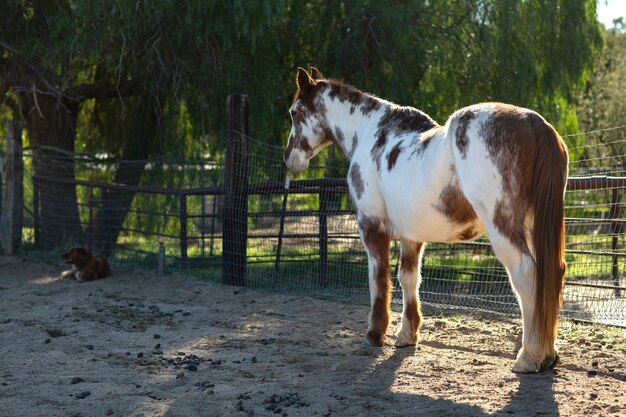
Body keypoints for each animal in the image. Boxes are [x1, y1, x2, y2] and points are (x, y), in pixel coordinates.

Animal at [282, 66, 564, 372]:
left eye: (294, 111)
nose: (289, 158)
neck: (369, 133)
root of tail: (533, 121)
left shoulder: (371, 226)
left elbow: (378, 279)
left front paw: (374, 334)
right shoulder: (411, 235)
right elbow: (408, 278)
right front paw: (407, 335)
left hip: (504, 228)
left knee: (527, 274)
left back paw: (529, 356)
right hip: (534, 228)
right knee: (552, 274)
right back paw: (548, 355)